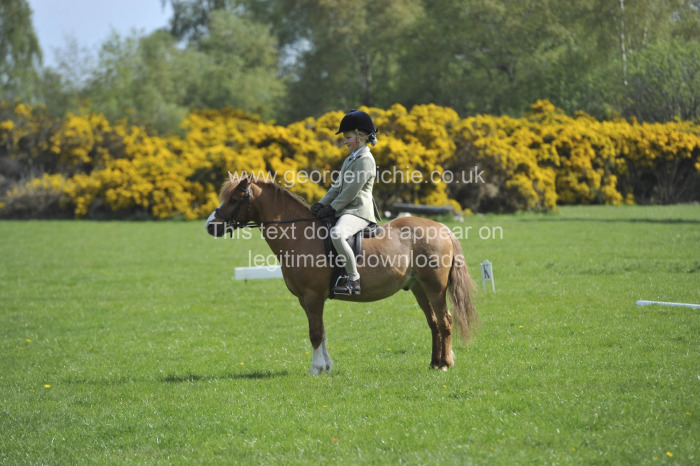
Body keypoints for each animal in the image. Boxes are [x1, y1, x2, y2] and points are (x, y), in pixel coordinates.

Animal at [205, 172, 478, 374]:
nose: (210, 226)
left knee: (445, 321)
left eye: (234, 199)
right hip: (419, 289)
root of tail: (442, 227)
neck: (300, 234)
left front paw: (316, 369)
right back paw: (434, 362)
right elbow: (322, 332)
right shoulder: (306, 300)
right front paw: (326, 366)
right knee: (433, 323)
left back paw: (444, 364)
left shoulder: (313, 296)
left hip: (435, 288)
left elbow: (315, 333)